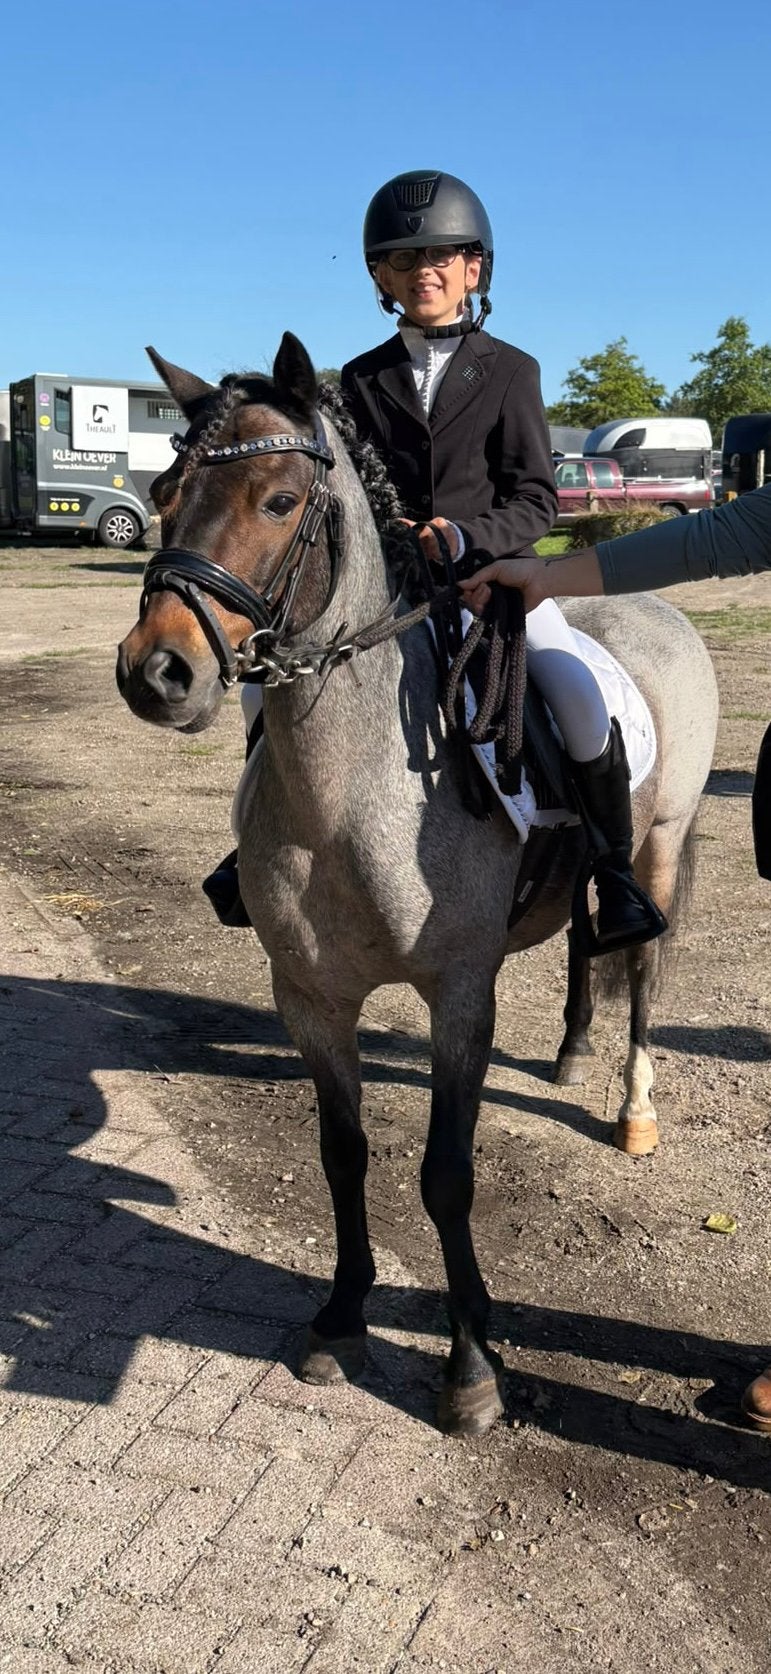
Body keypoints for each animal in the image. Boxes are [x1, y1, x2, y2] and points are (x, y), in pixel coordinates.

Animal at [116, 333, 719, 1437]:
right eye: (166, 492)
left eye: (279, 501)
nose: (157, 673)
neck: (351, 798)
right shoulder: (309, 998)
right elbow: (342, 1154)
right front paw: (340, 1318)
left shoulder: (458, 998)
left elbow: (446, 1175)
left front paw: (471, 1365)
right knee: (588, 936)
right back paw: (570, 1056)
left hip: (659, 841)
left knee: (644, 968)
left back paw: (632, 1109)